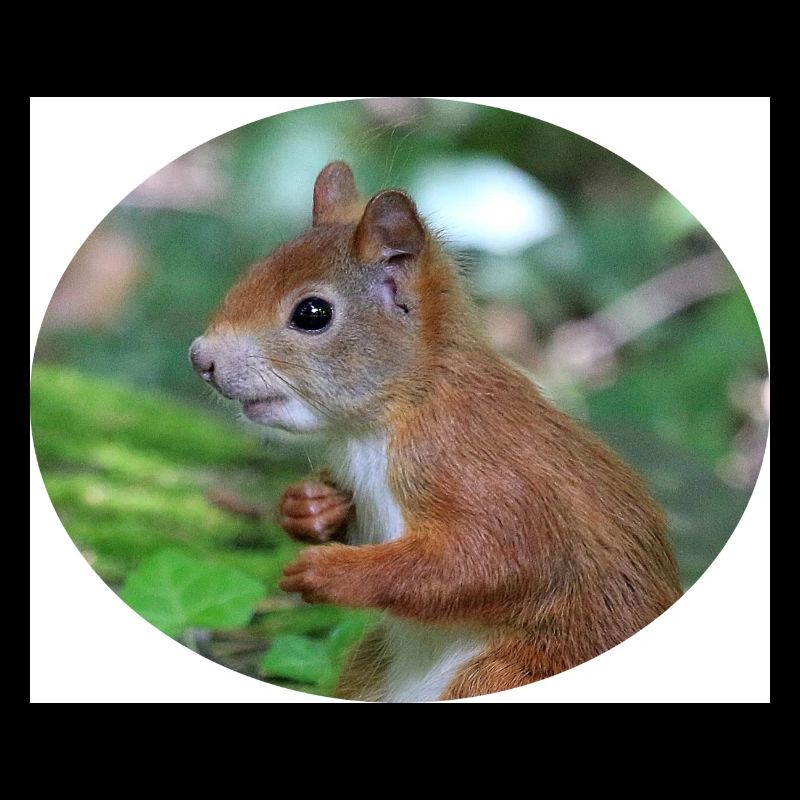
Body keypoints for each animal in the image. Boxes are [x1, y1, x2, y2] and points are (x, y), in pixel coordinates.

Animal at [190, 161, 683, 702]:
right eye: (253, 271)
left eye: (312, 313)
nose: (200, 358)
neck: (387, 421)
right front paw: (308, 507)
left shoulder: (483, 471)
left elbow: (497, 561)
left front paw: (332, 571)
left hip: (511, 671)